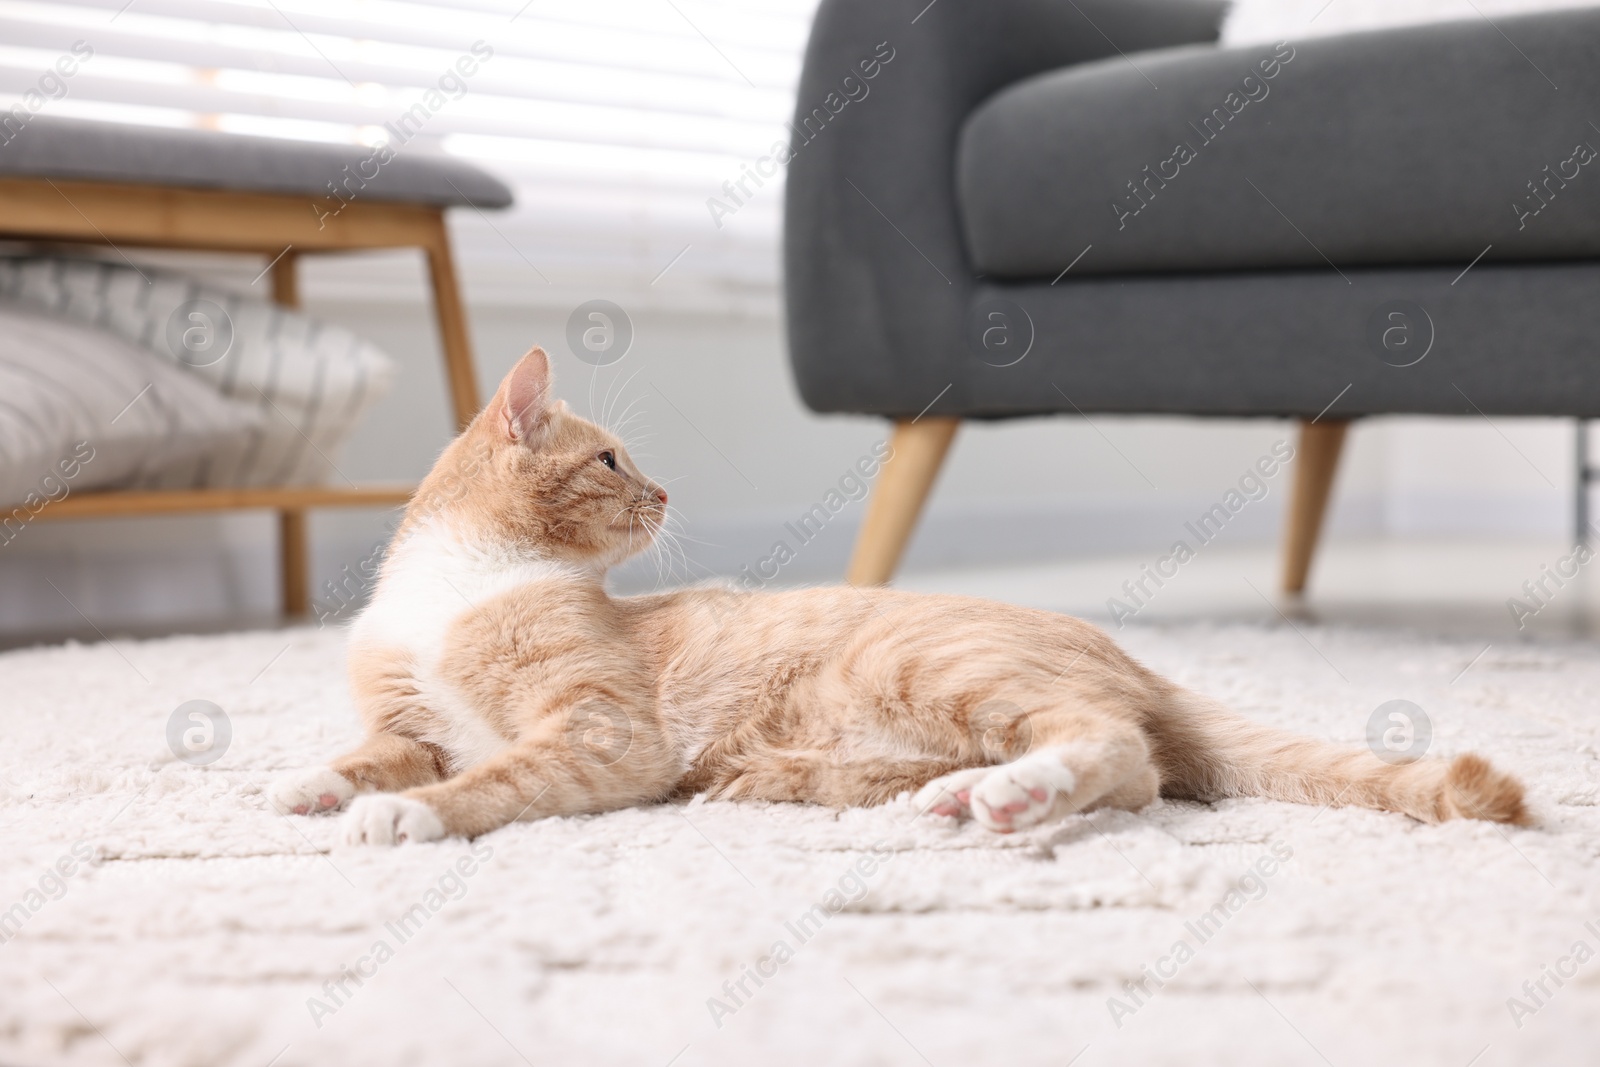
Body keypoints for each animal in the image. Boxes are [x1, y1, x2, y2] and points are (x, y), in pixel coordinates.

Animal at [268, 347, 1529, 844]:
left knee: (1121, 752)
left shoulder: (598, 730)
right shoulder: (406, 717)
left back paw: (1018, 792)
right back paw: (920, 790)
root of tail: (1138, 659)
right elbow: (379, 750)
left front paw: (410, 814)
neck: (456, 585)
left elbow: (491, 777)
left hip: (929, 666)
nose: (665, 489)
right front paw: (312, 783)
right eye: (615, 461)